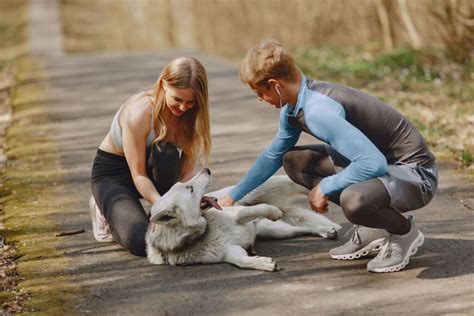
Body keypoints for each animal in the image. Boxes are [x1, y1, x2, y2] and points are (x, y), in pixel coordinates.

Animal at [144, 168, 340, 272]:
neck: (203, 232)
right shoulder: (230, 252)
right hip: (276, 232)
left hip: (269, 205)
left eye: (184, 185)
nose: (207, 169)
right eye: (190, 188)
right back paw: (325, 231)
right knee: (300, 229)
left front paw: (271, 211)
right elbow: (241, 262)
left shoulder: (239, 214)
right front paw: (262, 263)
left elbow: (256, 209)